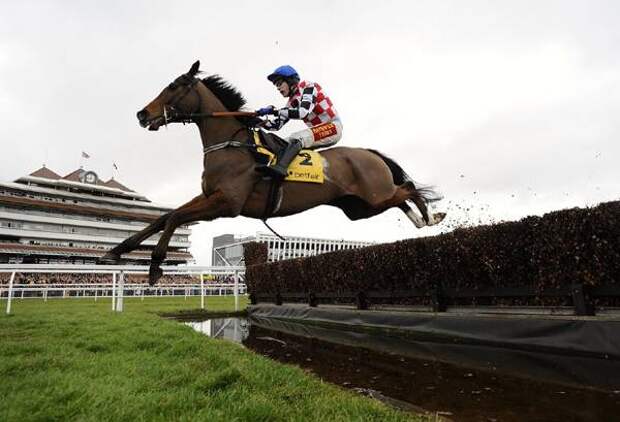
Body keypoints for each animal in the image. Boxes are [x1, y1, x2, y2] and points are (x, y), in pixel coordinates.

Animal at [104, 61, 448, 286]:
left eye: (174, 86)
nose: (142, 114)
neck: (231, 145)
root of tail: (370, 153)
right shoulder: (209, 196)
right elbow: (166, 216)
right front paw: (117, 250)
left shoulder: (227, 204)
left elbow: (175, 217)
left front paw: (154, 267)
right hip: (360, 208)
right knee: (400, 198)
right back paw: (423, 220)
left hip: (373, 196)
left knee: (409, 190)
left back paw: (432, 217)